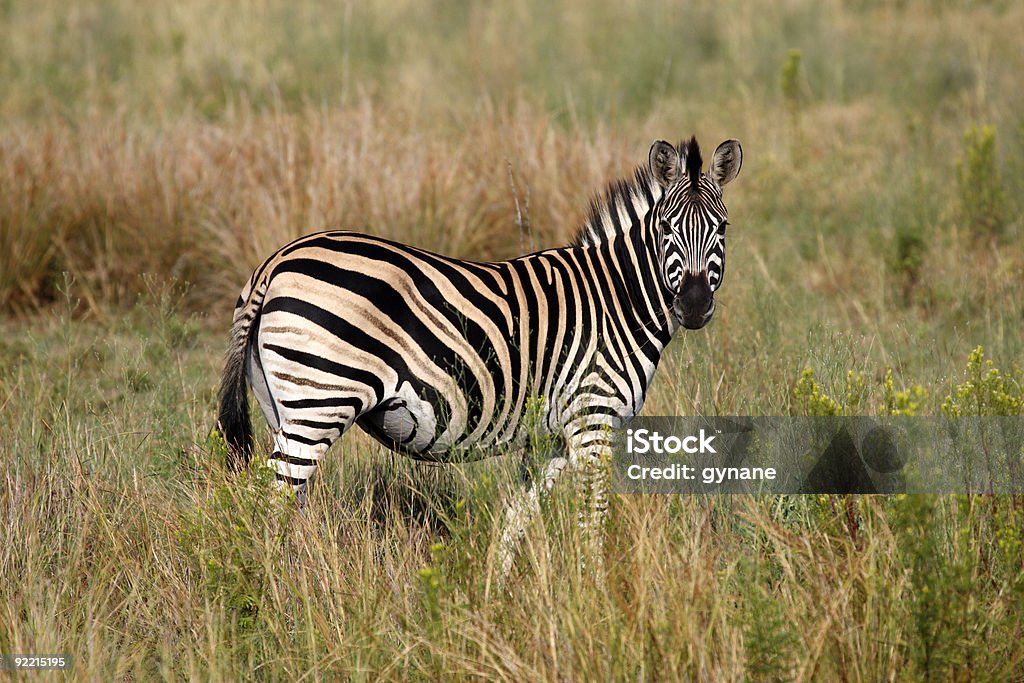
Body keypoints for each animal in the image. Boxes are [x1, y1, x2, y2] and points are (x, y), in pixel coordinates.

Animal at [218, 135, 745, 581]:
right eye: (667, 228)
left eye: (721, 228)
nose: (694, 306)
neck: (618, 298)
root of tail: (277, 259)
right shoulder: (592, 420)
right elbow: (592, 523)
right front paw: (596, 597)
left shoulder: (549, 438)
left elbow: (517, 516)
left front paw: (497, 593)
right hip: (321, 401)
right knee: (272, 501)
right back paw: (274, 593)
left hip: (285, 405)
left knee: (289, 500)